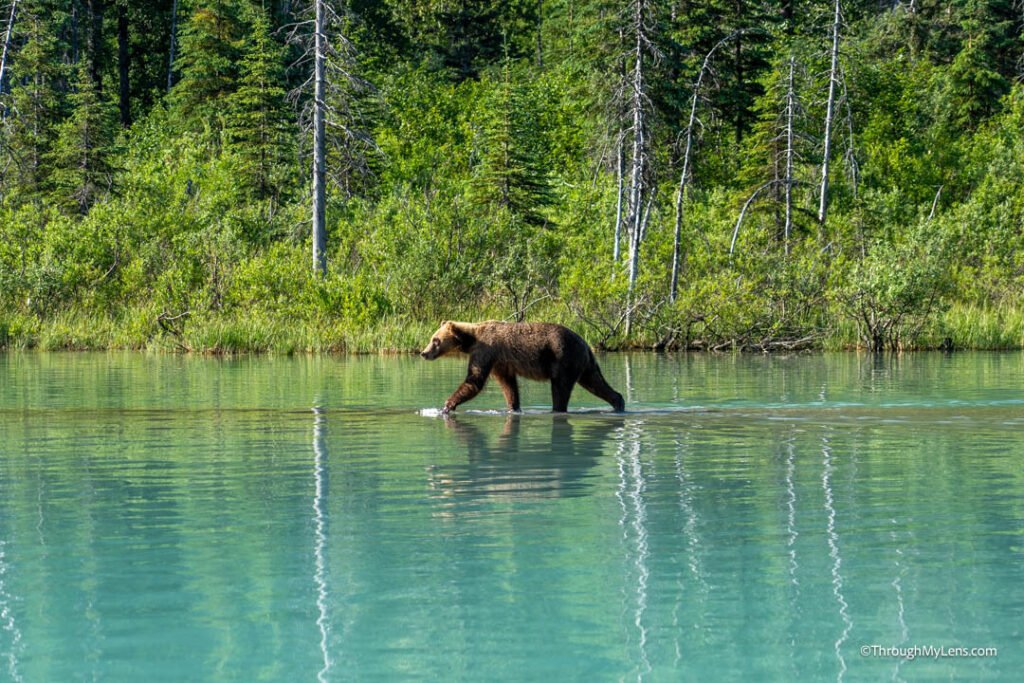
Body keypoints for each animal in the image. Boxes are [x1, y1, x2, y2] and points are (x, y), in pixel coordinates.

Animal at [417, 321, 622, 413]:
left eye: (436, 340)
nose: (424, 353)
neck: (471, 340)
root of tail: (586, 344)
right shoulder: (500, 362)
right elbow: (508, 385)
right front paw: (513, 407)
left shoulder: (486, 351)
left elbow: (475, 380)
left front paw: (447, 405)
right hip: (584, 363)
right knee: (595, 382)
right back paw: (618, 402)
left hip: (563, 358)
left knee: (560, 388)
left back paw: (557, 409)